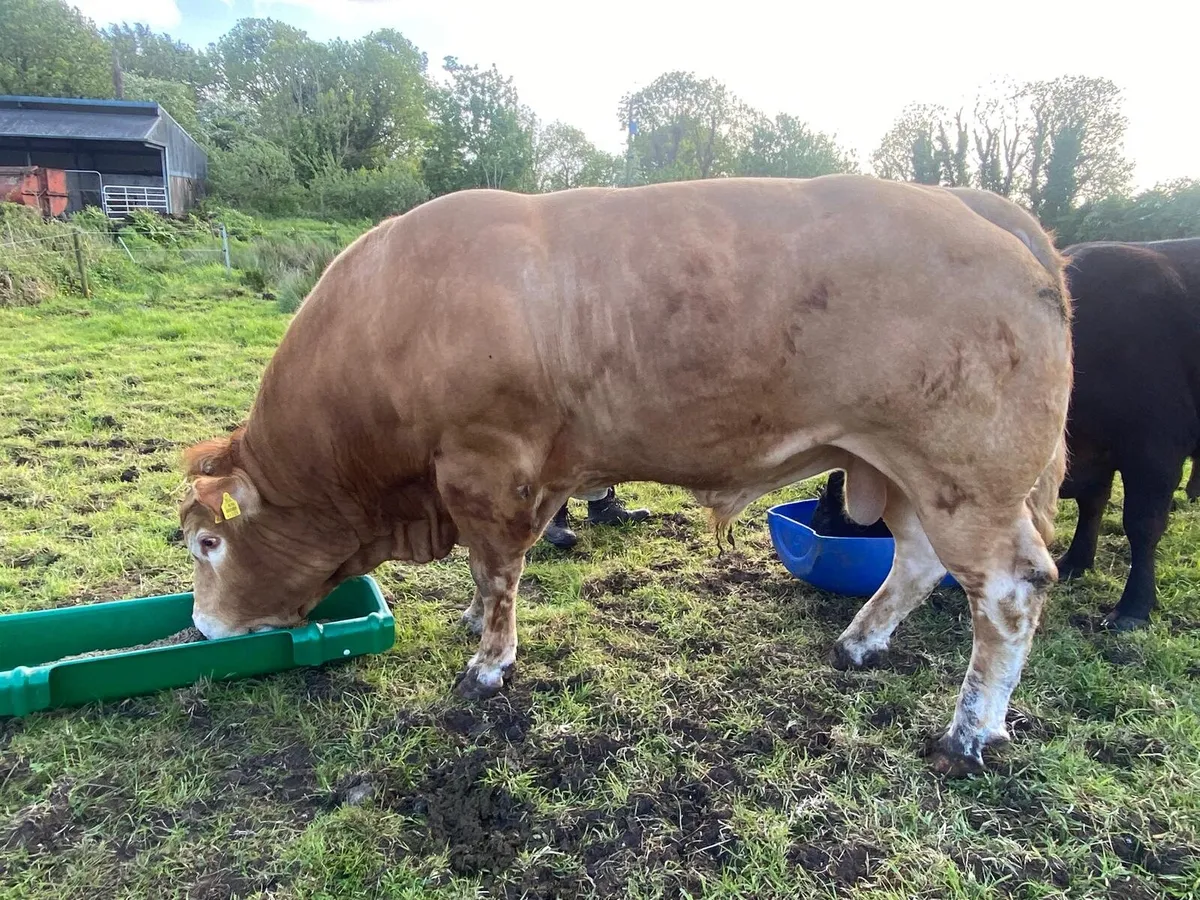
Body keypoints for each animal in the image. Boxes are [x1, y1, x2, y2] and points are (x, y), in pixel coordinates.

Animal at [176, 174, 1073, 775]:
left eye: (207, 543)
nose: (203, 628)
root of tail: (983, 206)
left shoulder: (489, 463)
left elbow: (498, 568)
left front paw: (490, 662)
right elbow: (482, 568)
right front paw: (470, 620)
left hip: (968, 477)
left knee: (1009, 592)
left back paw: (970, 731)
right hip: (900, 470)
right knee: (917, 564)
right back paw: (859, 643)